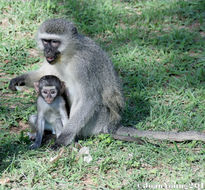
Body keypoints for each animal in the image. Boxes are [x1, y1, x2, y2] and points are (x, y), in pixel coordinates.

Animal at [8, 18, 205, 145]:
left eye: (54, 42)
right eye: (45, 41)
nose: (47, 52)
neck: (69, 55)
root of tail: (111, 126)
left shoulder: (83, 65)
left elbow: (89, 99)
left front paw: (64, 137)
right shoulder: (53, 63)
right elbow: (44, 74)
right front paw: (19, 79)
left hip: (98, 121)